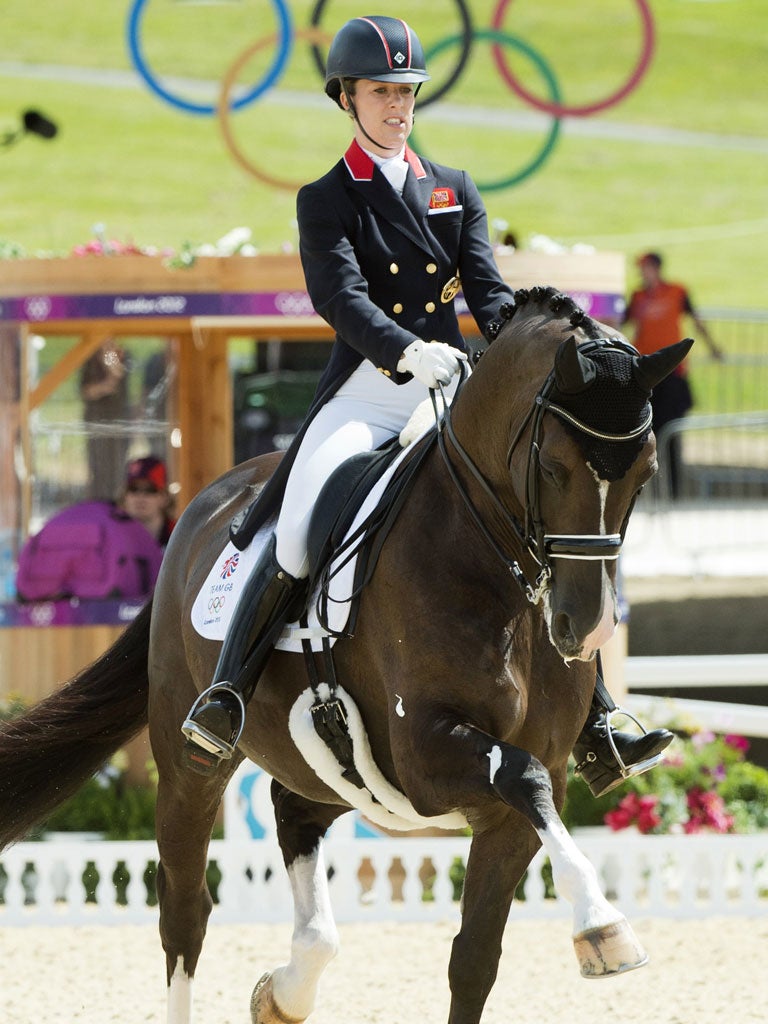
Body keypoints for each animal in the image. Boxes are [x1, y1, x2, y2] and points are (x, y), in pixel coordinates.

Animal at [0, 290, 692, 1024]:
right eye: (555, 466)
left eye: (645, 473)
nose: (585, 629)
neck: (493, 564)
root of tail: (205, 504)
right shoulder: (427, 753)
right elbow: (521, 776)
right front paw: (603, 925)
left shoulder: (519, 800)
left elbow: (476, 956)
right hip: (189, 760)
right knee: (185, 912)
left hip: (335, 770)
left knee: (294, 815)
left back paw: (287, 988)